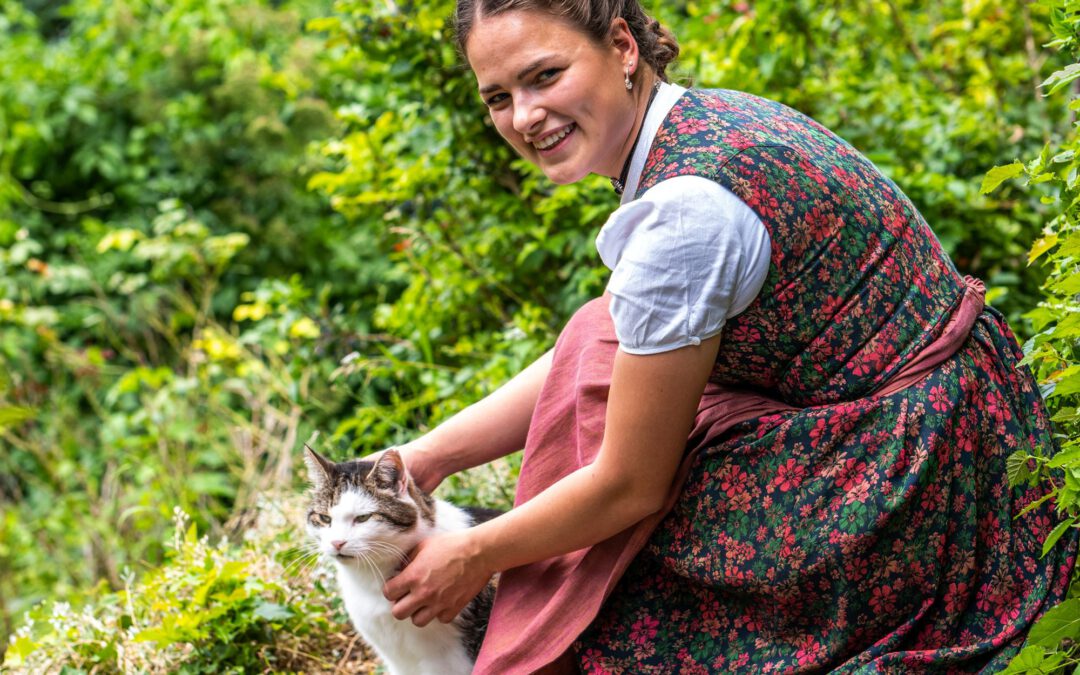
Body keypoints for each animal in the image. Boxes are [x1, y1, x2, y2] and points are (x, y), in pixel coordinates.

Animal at [300, 442, 494, 673]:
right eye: (324, 518)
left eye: (363, 518)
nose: (337, 542)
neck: (370, 577)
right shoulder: (396, 660)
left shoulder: (445, 661)